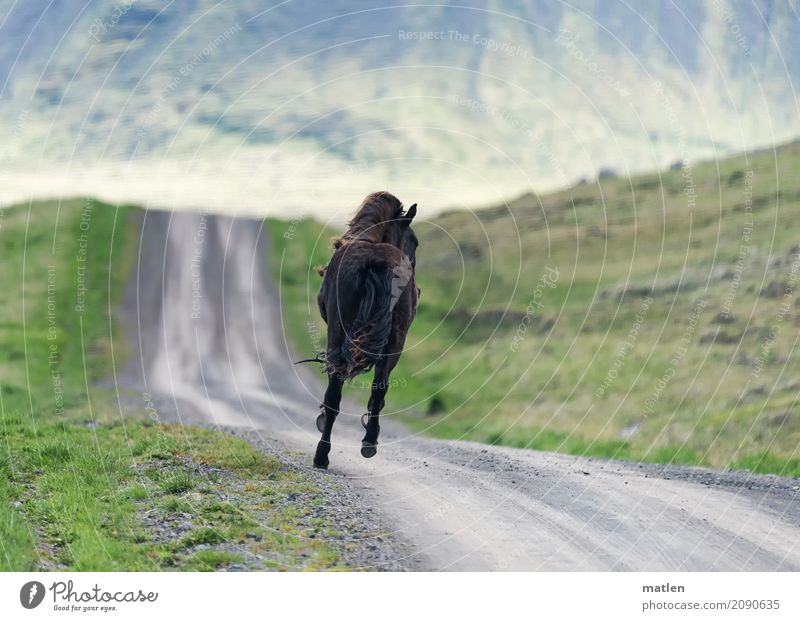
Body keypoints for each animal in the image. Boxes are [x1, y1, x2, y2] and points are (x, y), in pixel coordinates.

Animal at [310, 191, 418, 468]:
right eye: (415, 241)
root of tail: (376, 262)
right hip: (393, 341)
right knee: (377, 388)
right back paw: (365, 443)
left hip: (339, 333)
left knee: (338, 389)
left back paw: (324, 453)